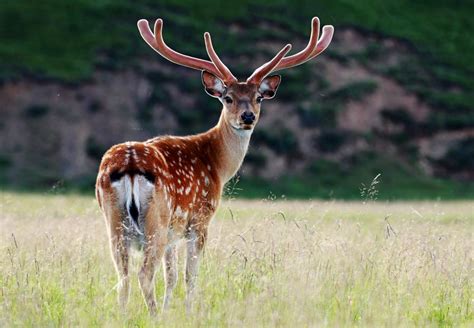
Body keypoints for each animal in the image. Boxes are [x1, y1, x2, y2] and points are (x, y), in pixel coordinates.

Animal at [96, 16, 334, 314]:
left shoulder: (175, 231)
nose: (247, 116)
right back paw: (151, 315)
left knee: (123, 278)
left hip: (115, 222)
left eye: (258, 97)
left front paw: (169, 312)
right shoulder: (200, 218)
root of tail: (129, 165)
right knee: (143, 275)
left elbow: (172, 276)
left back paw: (125, 315)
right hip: (156, 220)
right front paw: (187, 312)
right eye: (227, 98)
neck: (217, 164)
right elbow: (190, 276)